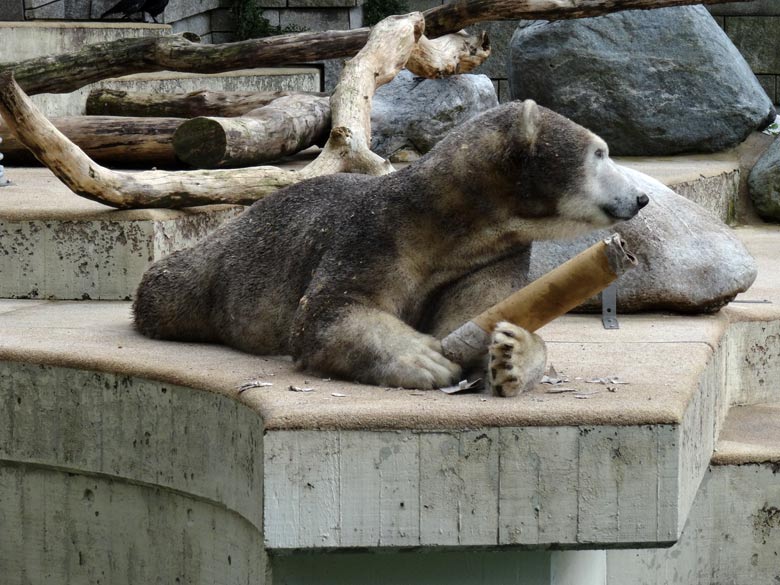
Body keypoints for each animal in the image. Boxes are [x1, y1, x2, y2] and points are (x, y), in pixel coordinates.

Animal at [133, 100, 644, 392]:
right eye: (600, 153)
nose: (640, 197)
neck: (445, 218)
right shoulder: (376, 234)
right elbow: (330, 310)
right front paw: (423, 359)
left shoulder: (493, 254)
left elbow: (477, 313)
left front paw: (512, 353)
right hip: (218, 263)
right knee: (169, 286)